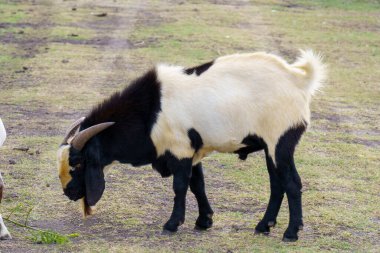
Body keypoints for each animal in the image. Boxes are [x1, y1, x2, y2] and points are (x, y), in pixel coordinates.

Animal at [58, 50, 326, 241]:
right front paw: (204, 221)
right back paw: (264, 226)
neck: (150, 111)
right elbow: (197, 184)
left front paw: (172, 224)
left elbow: (180, 186)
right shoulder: (193, 151)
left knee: (291, 183)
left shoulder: (180, 150)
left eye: (78, 162)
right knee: (277, 184)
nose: (69, 193)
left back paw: (291, 232)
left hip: (280, 142)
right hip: (271, 148)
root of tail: (297, 79)